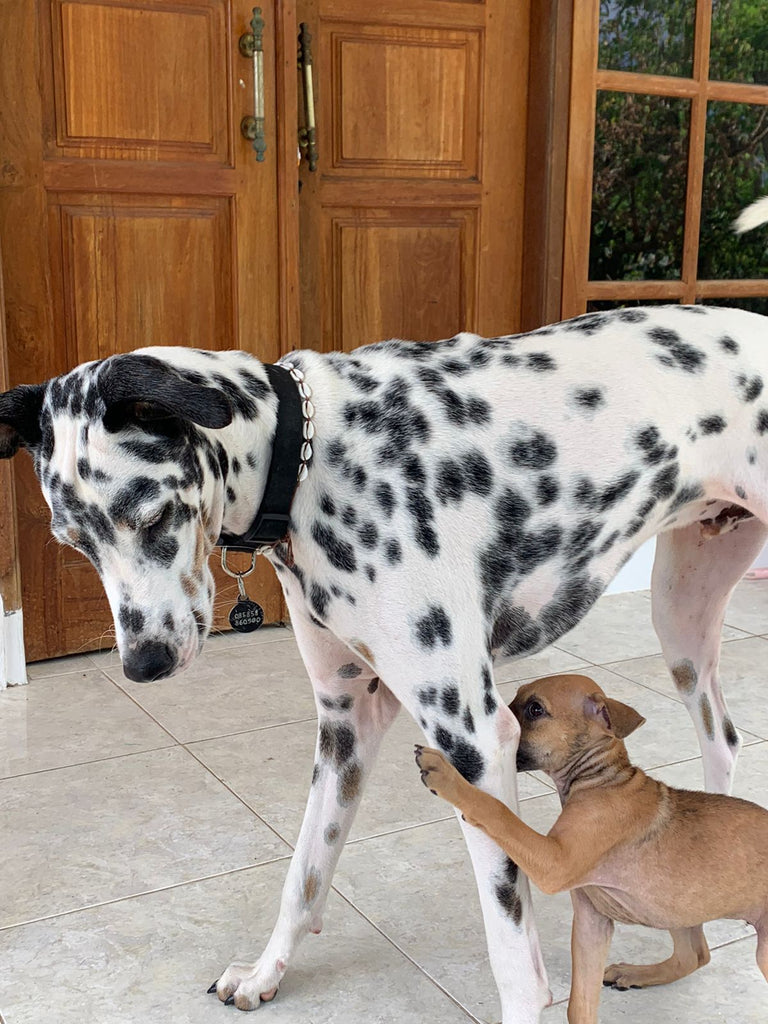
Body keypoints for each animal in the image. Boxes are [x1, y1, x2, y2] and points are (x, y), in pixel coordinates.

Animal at [415, 671, 768, 1024]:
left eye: (535, 709)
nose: (496, 720)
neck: (599, 779)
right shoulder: (591, 922)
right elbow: (580, 1002)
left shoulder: (554, 863)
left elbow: (498, 812)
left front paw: (448, 776)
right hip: (674, 908)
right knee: (694, 954)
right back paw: (635, 973)